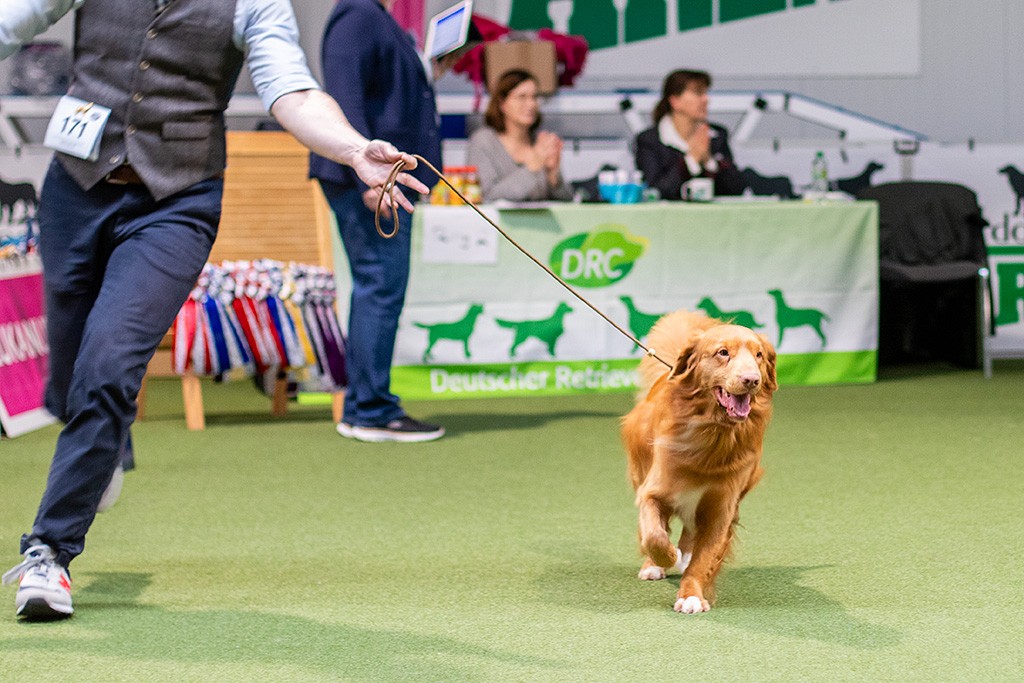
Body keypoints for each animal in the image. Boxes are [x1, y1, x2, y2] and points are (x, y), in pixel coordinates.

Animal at [622, 309, 774, 614]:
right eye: (723, 352)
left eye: (759, 355)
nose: (751, 379)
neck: (712, 435)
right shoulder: (653, 491)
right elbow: (654, 535)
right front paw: (666, 557)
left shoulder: (721, 509)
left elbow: (704, 559)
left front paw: (691, 594)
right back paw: (656, 563)